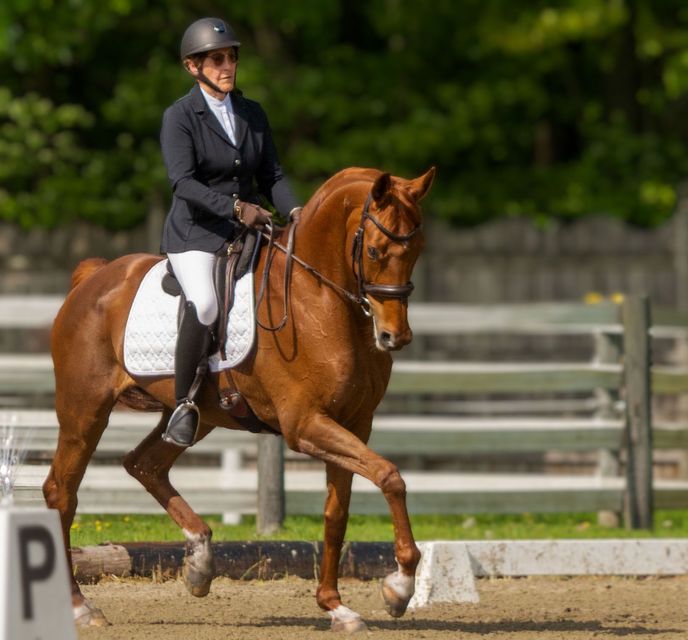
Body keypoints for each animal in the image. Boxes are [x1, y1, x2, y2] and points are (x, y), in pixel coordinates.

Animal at [44, 165, 436, 632]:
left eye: (417, 250)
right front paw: (400, 587)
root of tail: (94, 277)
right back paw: (79, 606)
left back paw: (200, 563)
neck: (319, 299)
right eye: (375, 251)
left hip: (196, 416)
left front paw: (336, 606)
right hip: (84, 410)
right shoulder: (305, 425)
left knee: (144, 464)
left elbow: (338, 512)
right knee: (62, 492)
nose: (395, 336)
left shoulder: (355, 422)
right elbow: (391, 476)